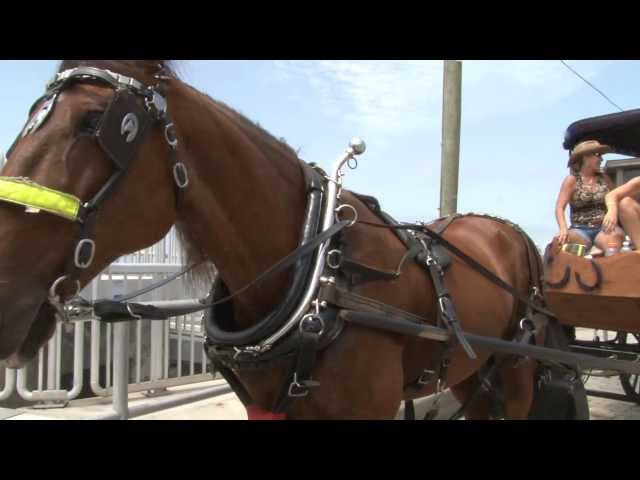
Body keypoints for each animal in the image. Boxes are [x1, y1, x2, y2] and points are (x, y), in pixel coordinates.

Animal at [0, 61, 540, 420]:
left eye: (102, 123)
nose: (5, 293)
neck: (320, 270)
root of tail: (503, 227)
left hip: (516, 368)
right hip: (474, 373)